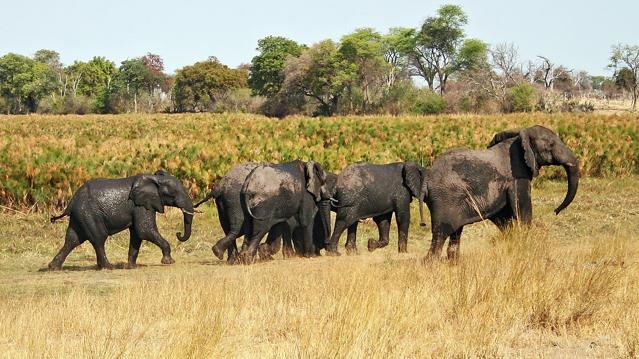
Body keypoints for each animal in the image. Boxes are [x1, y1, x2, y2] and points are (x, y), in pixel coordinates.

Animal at [48, 171, 195, 270]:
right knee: (98, 238)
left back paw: (53, 267)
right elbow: (144, 230)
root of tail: (71, 203)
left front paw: (131, 267)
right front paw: (168, 262)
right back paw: (108, 267)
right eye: (173, 194)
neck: (155, 179)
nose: (178, 234)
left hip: (80, 215)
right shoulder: (141, 205)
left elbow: (137, 234)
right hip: (89, 213)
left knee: (72, 239)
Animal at [418, 125, 584, 260]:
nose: (556, 211)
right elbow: (523, 210)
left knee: (455, 233)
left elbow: (503, 217)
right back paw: (431, 263)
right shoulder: (517, 177)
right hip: (445, 198)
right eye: (551, 144)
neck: (520, 137)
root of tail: (427, 178)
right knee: (441, 233)